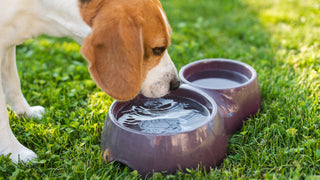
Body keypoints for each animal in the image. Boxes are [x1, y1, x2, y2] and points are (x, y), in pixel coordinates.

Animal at [0, 0, 180, 163]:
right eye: (158, 49)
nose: (176, 84)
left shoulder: (8, 46)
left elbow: (14, 84)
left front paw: (26, 113)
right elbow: (3, 116)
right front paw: (16, 153)